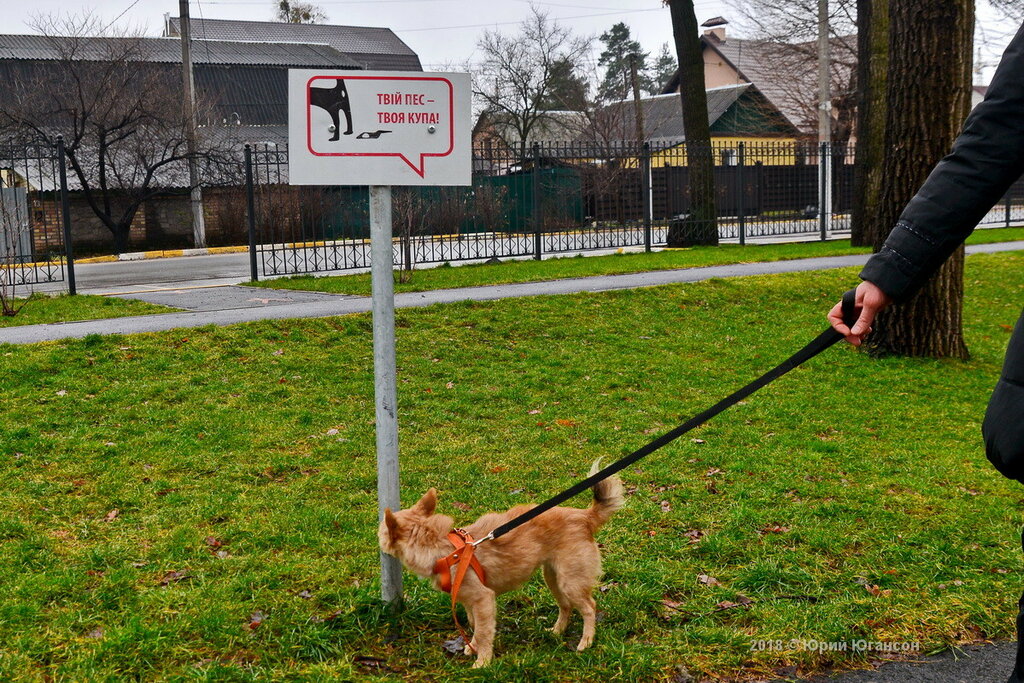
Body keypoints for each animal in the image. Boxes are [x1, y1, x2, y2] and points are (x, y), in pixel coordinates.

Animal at [378, 464, 622, 667]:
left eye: (381, 530)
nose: (375, 536)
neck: (445, 551)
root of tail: (584, 517)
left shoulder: (483, 599)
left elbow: (485, 632)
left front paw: (483, 662)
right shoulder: (470, 602)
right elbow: (475, 626)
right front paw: (472, 647)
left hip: (571, 581)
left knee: (589, 607)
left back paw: (586, 641)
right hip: (554, 578)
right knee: (566, 606)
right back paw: (556, 631)